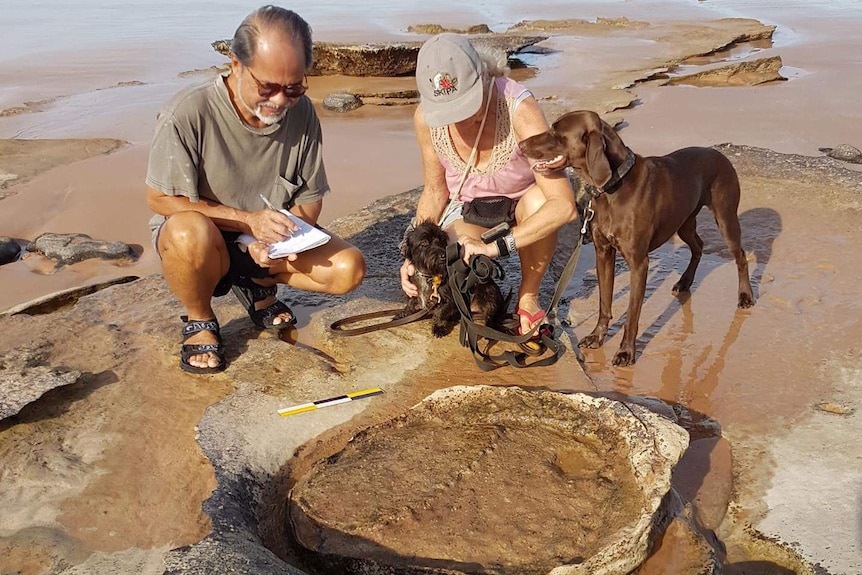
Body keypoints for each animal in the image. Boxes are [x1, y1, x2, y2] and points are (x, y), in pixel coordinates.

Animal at [516, 110, 752, 366]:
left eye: (556, 133)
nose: (521, 145)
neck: (612, 187)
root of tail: (721, 155)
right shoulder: (604, 254)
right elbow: (604, 303)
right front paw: (597, 337)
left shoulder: (639, 263)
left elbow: (632, 314)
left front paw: (625, 352)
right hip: (684, 223)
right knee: (698, 246)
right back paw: (685, 281)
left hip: (725, 218)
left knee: (740, 255)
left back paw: (745, 296)